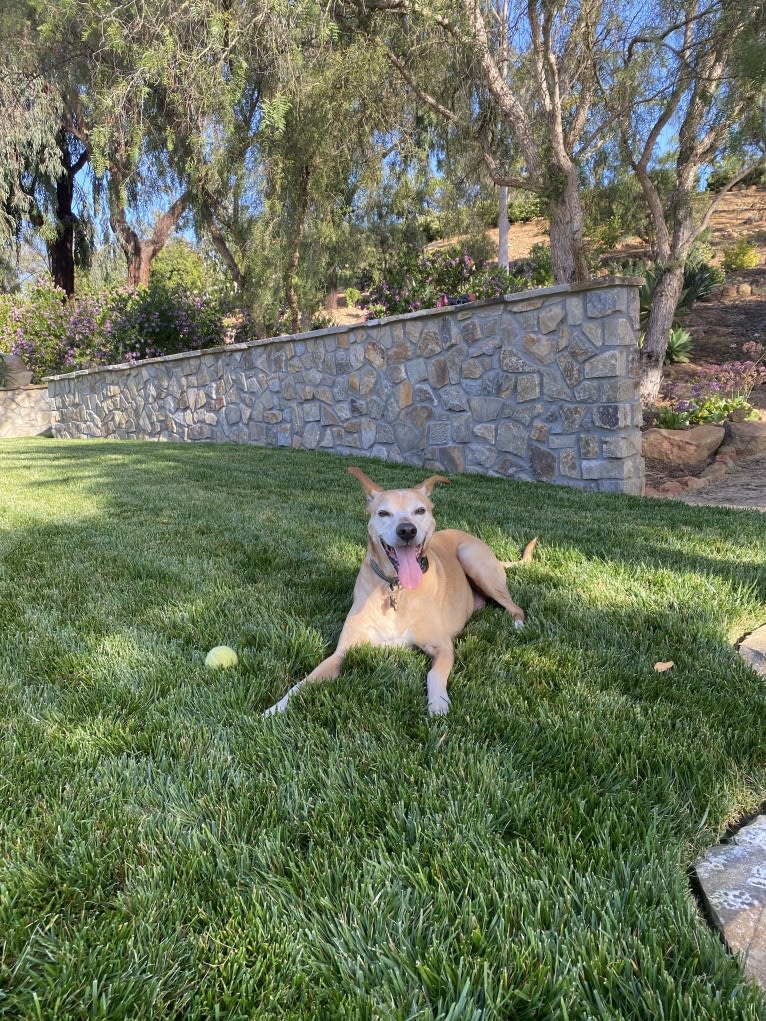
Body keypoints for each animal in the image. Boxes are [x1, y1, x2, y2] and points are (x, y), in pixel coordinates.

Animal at [263, 465, 535, 718]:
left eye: (420, 510)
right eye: (383, 513)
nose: (407, 530)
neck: (396, 588)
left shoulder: (443, 647)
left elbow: (434, 674)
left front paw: (438, 703)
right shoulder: (343, 652)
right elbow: (305, 681)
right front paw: (276, 708)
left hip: (473, 559)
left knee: (516, 607)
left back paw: (518, 626)